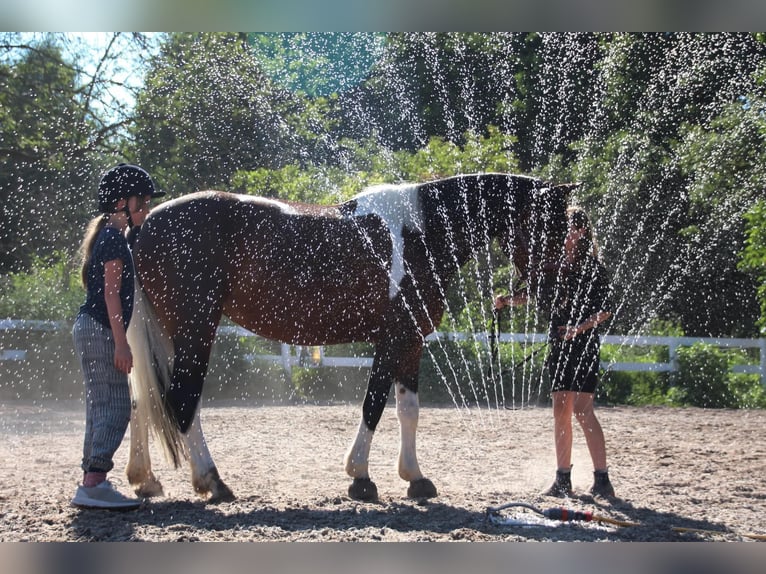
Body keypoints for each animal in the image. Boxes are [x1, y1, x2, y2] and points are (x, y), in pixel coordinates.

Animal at [124, 174, 568, 504]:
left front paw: (415, 477)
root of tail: (144, 226)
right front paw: (361, 478)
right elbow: (373, 406)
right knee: (182, 398)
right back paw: (212, 482)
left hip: (160, 334)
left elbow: (409, 410)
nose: (564, 294)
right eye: (557, 226)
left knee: (141, 398)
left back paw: (144, 480)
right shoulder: (392, 339)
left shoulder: (411, 343)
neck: (421, 231)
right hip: (195, 330)